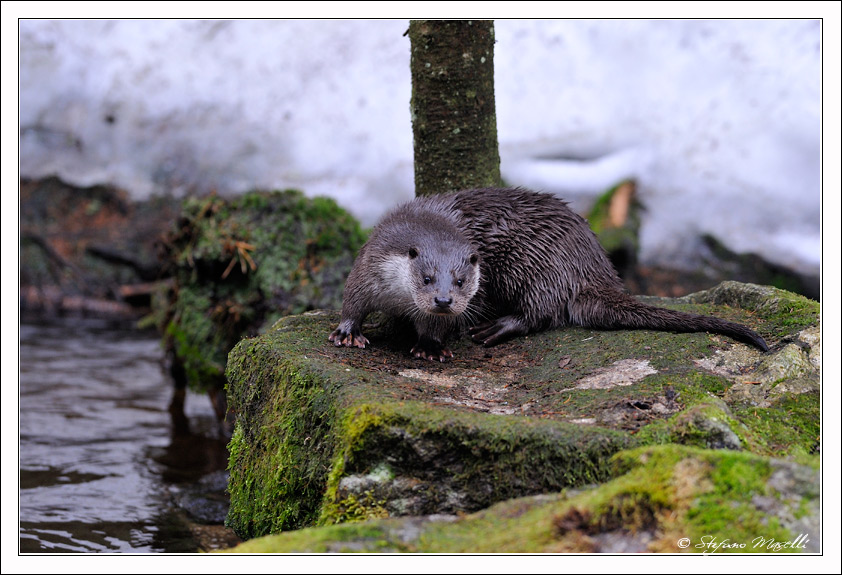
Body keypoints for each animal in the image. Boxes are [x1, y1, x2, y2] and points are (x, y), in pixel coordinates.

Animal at [328, 188, 768, 360]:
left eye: (461, 281)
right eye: (426, 278)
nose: (443, 300)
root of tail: (592, 263)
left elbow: (435, 328)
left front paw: (431, 346)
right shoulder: (370, 260)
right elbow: (352, 298)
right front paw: (347, 331)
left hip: (535, 263)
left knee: (545, 310)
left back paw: (498, 327)